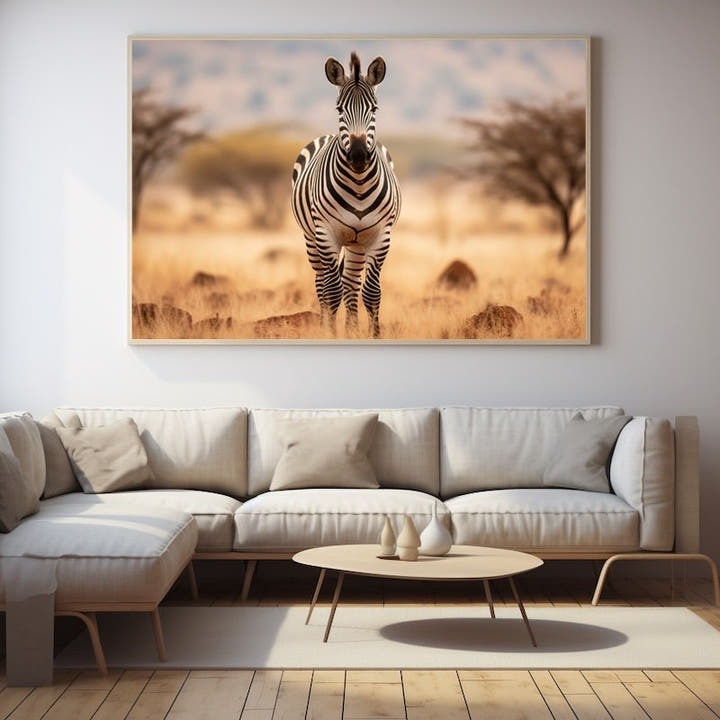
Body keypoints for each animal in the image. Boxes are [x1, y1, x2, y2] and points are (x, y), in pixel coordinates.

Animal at [291, 52, 401, 338]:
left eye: (374, 109)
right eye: (339, 110)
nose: (359, 156)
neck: (359, 185)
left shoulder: (381, 236)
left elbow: (371, 293)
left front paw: (374, 335)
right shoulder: (325, 234)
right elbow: (332, 293)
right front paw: (330, 334)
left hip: (357, 243)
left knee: (351, 284)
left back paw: (352, 330)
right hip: (311, 238)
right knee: (322, 285)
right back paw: (325, 327)